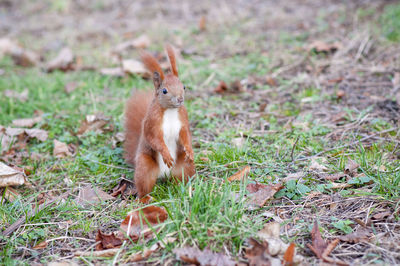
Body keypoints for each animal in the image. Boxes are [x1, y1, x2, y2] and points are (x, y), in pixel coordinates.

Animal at [123, 45, 195, 197]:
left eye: (184, 86)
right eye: (164, 91)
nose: (180, 99)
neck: (171, 111)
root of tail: (164, 175)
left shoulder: (183, 120)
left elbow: (185, 135)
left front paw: (190, 150)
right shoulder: (152, 123)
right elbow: (154, 139)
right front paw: (166, 155)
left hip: (185, 167)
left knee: (181, 179)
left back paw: (185, 190)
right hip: (145, 167)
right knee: (144, 187)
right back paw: (145, 199)